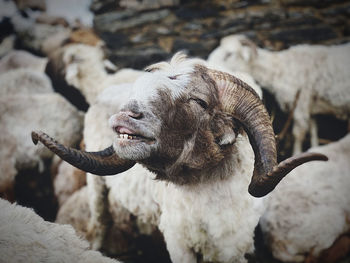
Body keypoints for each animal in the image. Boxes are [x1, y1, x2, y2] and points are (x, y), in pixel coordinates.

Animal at [31, 52, 326, 262]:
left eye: (199, 102)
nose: (125, 117)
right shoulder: (179, 241)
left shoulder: (231, 245)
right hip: (97, 188)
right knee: (101, 220)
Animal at [208, 35, 350, 155]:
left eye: (229, 54)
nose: (209, 63)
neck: (280, 68)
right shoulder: (311, 106)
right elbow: (313, 130)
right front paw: (314, 148)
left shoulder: (301, 104)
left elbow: (298, 134)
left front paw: (296, 153)